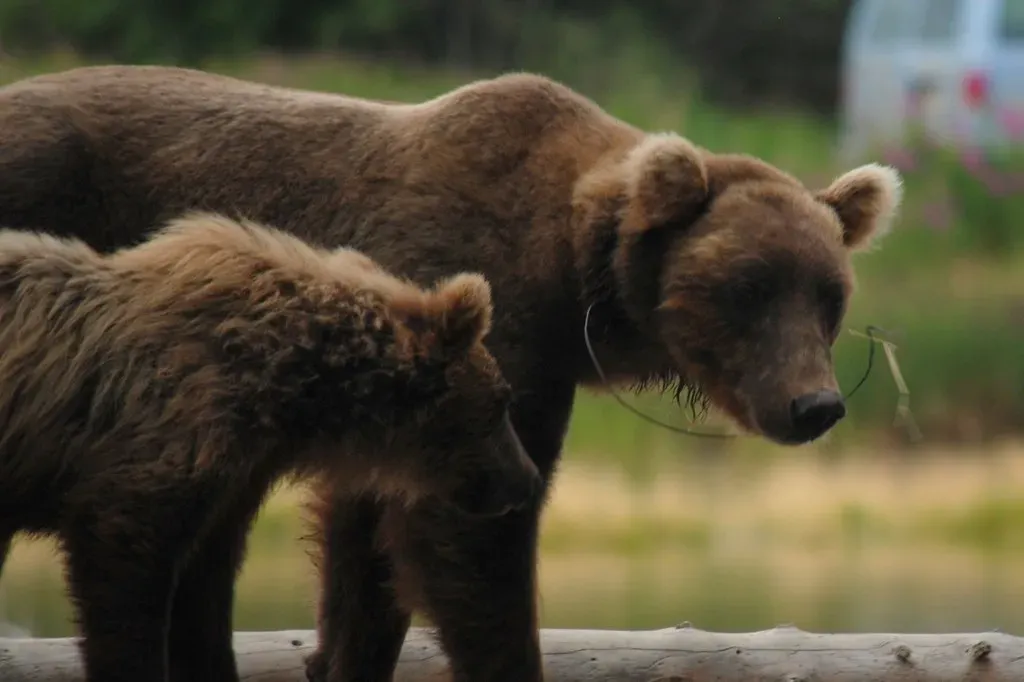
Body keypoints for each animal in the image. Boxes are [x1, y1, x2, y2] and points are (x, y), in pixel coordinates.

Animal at [0, 211, 542, 682]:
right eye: (501, 402)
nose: (527, 479)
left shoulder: (229, 483)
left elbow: (203, 592)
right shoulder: (150, 453)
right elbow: (126, 579)